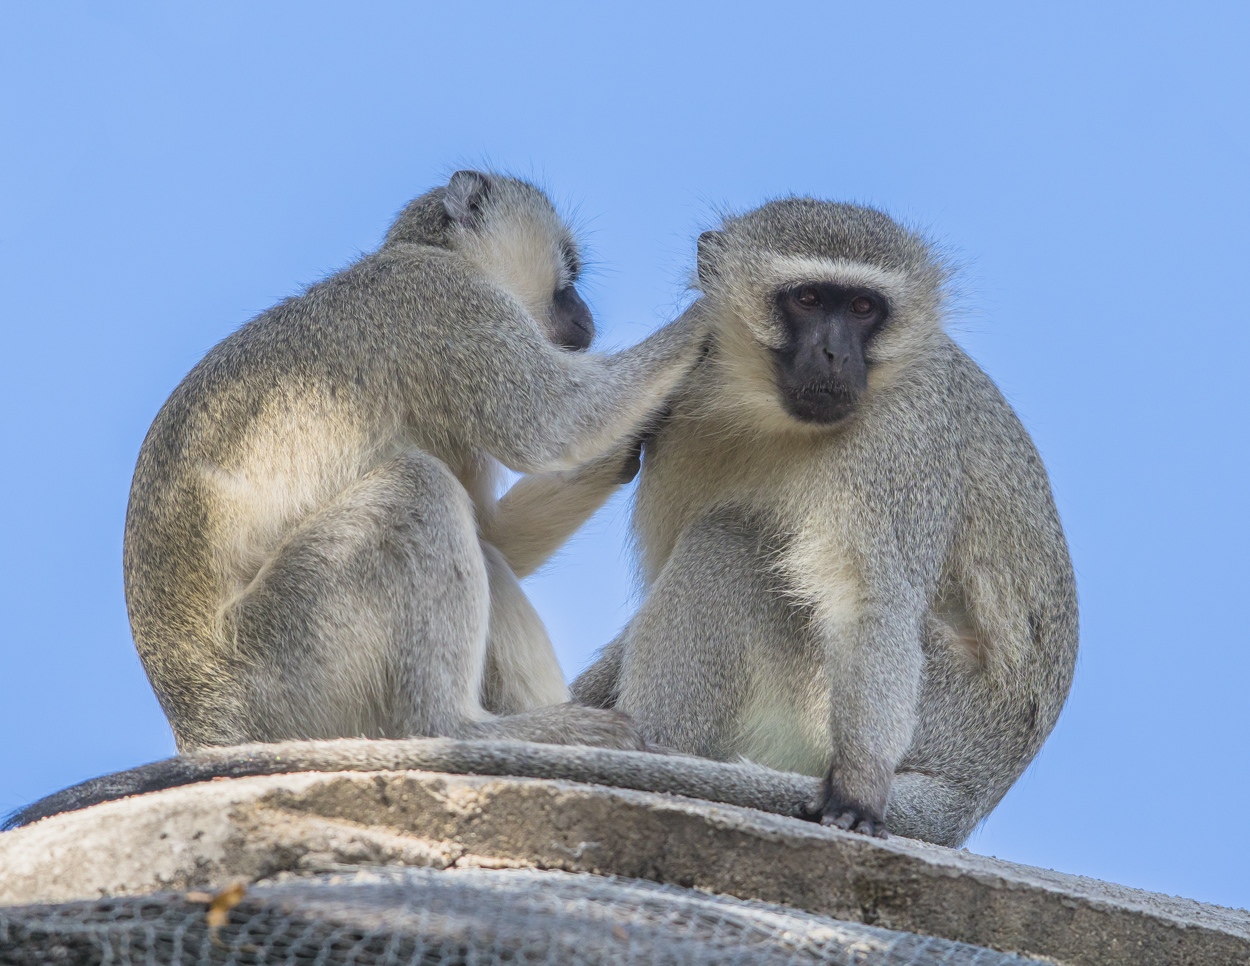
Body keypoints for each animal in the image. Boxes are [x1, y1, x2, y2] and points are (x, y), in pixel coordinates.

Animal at [128, 171, 710, 754]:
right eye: (570, 268)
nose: (587, 316)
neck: (430, 250)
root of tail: (202, 723)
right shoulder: (446, 299)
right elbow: (552, 422)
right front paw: (712, 309)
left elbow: (495, 531)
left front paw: (630, 444)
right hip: (286, 661)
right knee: (416, 488)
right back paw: (457, 727)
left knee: (481, 548)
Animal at [572, 197, 1075, 844]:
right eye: (808, 299)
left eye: (863, 308)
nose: (836, 355)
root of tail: (978, 787)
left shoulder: (900, 434)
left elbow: (870, 601)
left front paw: (859, 784)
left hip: (938, 713)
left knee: (731, 544)